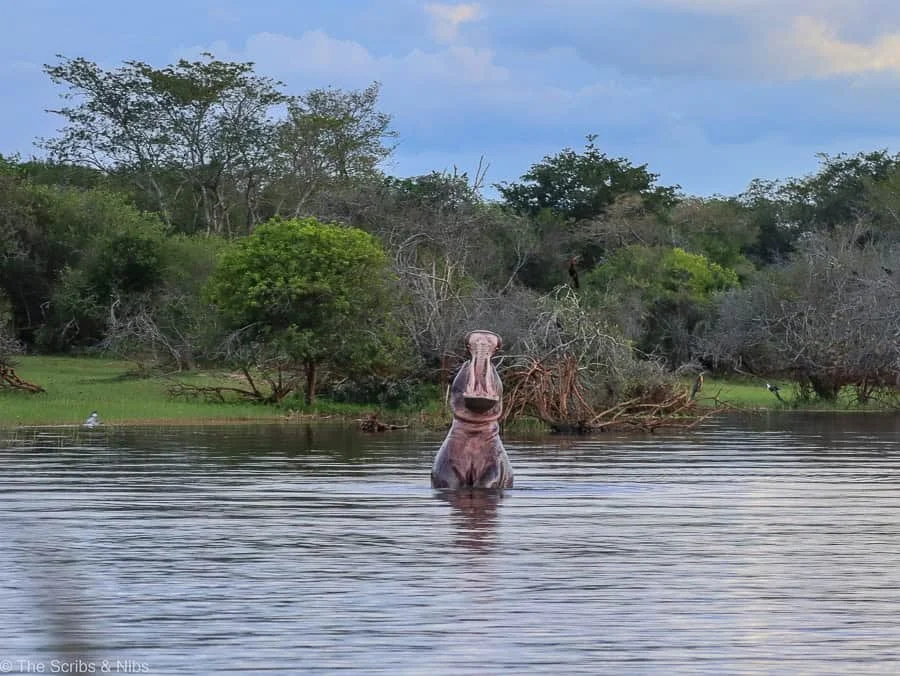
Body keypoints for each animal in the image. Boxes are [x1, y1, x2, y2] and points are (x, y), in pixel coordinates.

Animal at [431, 330, 513, 489]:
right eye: (465, 363)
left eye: (494, 367)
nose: (484, 333)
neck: (474, 429)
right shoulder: (445, 465)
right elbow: (448, 479)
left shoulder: (496, 463)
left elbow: (490, 479)